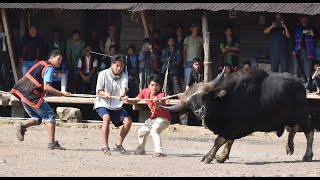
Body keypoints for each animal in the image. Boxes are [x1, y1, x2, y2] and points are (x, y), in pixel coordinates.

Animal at [160, 68, 316, 164]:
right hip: (290, 116)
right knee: (294, 128)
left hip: (302, 114)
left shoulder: (234, 126)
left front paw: (208, 156)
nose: (200, 111)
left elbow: (219, 140)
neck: (225, 101)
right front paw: (222, 156)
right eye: (190, 105)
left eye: (205, 96)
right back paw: (289, 147)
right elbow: (229, 141)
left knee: (309, 132)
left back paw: (307, 155)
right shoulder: (230, 127)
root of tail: (300, 84)